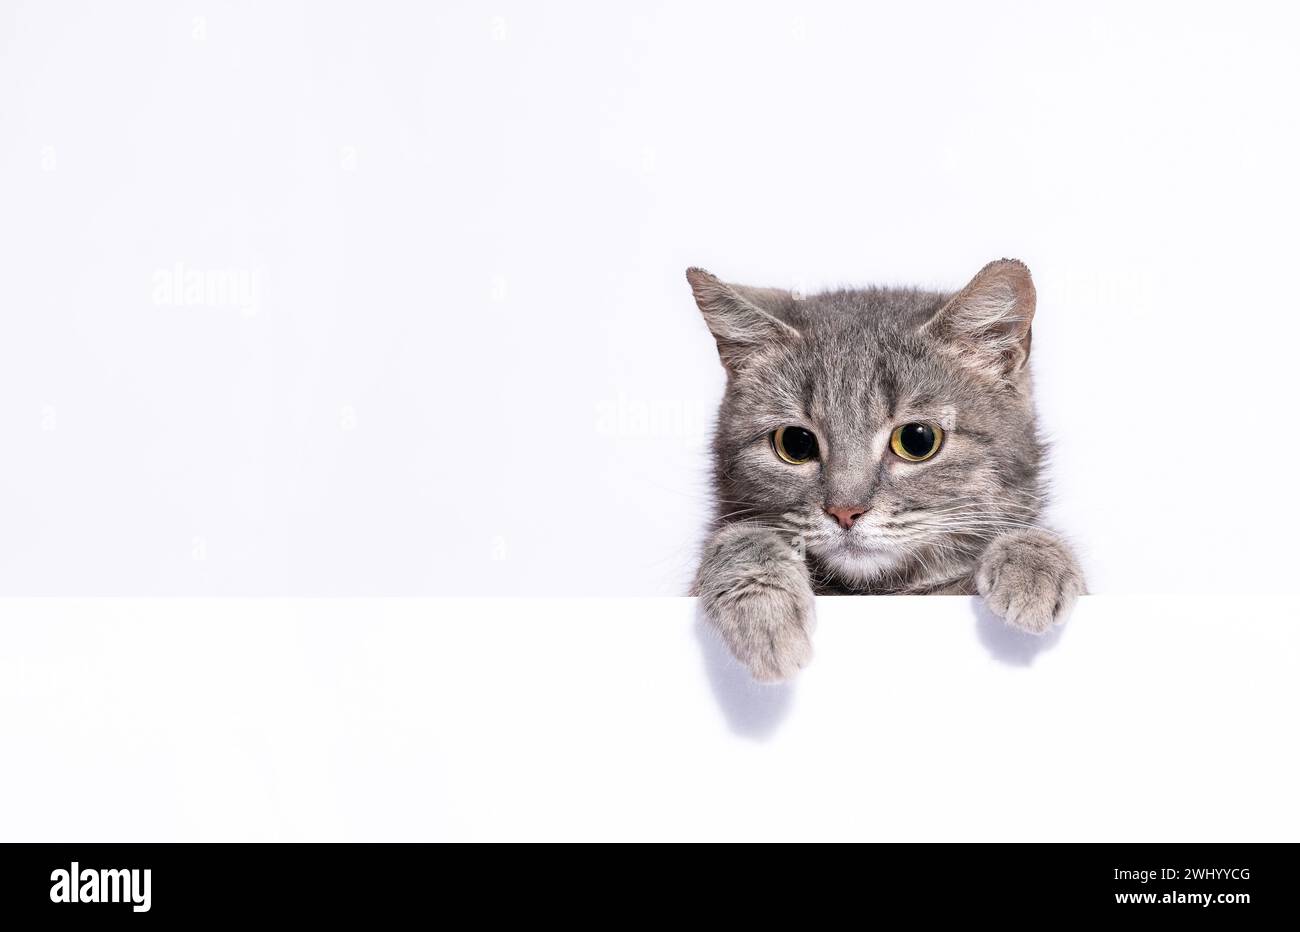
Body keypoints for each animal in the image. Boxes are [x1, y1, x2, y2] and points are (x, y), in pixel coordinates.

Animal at [691, 258, 1086, 681]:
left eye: (917, 440)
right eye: (795, 443)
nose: (845, 512)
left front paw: (1033, 561)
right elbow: (739, 537)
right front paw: (765, 615)